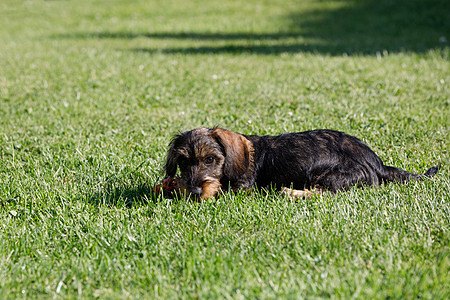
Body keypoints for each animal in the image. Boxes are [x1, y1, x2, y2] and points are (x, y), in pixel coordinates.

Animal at [163, 126, 440, 199]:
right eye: (183, 162)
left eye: (211, 159)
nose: (194, 191)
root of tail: (376, 162)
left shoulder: (241, 189)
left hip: (332, 175)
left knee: (323, 193)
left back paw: (289, 192)